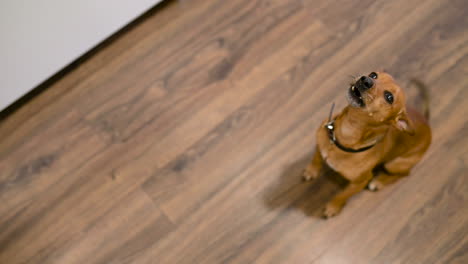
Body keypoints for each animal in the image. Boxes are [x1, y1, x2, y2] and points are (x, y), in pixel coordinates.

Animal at [304, 71, 432, 218]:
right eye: (374, 75)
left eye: (389, 97)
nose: (365, 80)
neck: (346, 132)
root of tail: (427, 123)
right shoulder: (319, 146)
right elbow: (316, 159)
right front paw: (311, 171)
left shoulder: (360, 182)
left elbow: (343, 195)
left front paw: (333, 207)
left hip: (394, 164)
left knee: (405, 173)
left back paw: (379, 182)